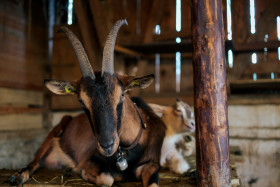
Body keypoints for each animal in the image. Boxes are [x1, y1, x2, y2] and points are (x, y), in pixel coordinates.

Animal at [9, 19, 165, 186]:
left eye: (122, 94)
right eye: (81, 101)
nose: (107, 145)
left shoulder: (152, 164)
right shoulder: (88, 159)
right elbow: (107, 178)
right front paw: (84, 173)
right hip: (55, 131)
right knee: (35, 161)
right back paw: (18, 176)